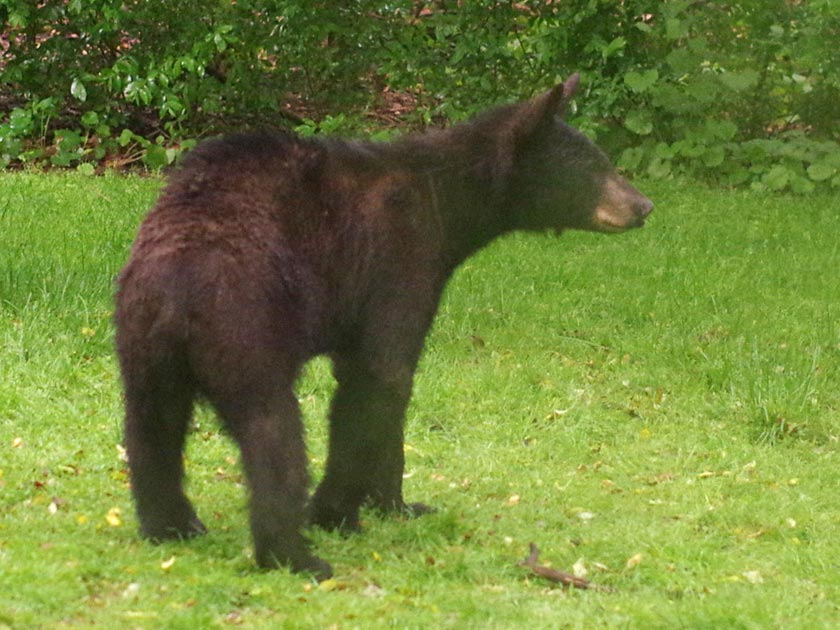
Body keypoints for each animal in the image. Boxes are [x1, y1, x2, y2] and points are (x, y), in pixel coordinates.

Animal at [114, 73, 652, 580]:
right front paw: (335, 513)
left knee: (150, 428)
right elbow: (380, 378)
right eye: (592, 166)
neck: (446, 203)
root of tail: (177, 288)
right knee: (272, 432)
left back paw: (171, 525)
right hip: (246, 329)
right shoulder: (398, 262)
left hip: (141, 344)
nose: (643, 206)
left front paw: (397, 505)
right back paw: (294, 555)